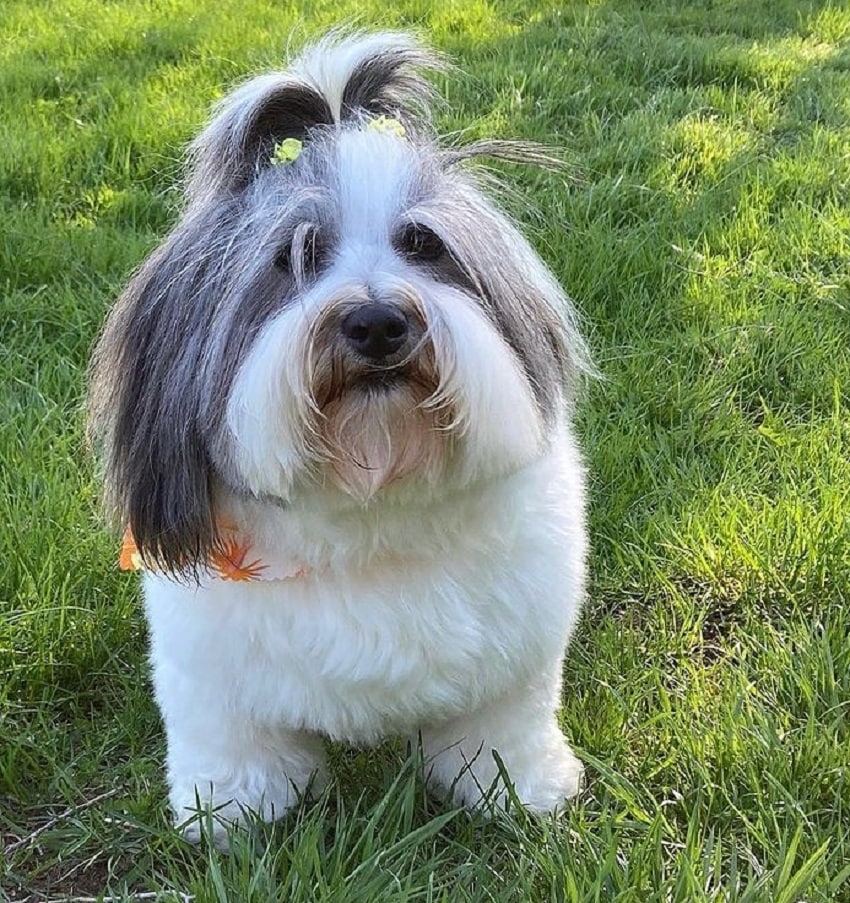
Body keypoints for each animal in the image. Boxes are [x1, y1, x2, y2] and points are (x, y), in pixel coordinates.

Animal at [88, 28, 588, 848]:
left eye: (421, 243)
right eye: (295, 256)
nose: (378, 322)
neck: (368, 506)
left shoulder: (513, 658)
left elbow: (500, 730)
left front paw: (518, 789)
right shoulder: (213, 676)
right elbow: (235, 747)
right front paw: (231, 811)